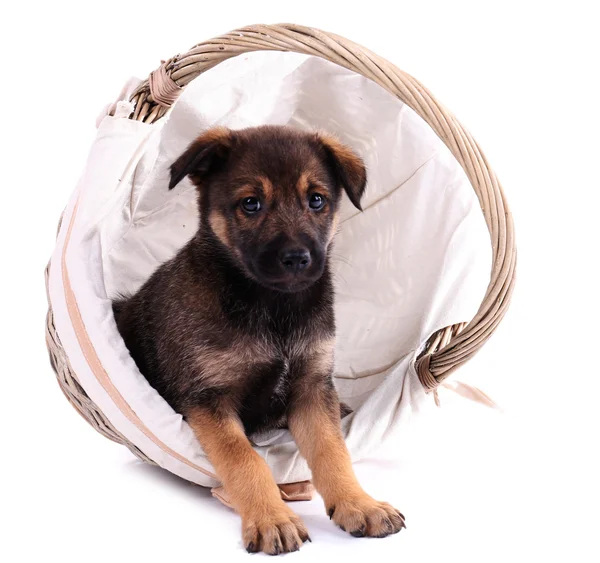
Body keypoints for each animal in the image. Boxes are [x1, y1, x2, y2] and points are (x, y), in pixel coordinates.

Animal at [113, 126, 404, 556]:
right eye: (251, 204)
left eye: (316, 199)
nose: (297, 258)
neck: (273, 306)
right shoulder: (209, 399)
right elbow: (244, 460)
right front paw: (272, 518)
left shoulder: (311, 386)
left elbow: (332, 451)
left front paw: (358, 503)